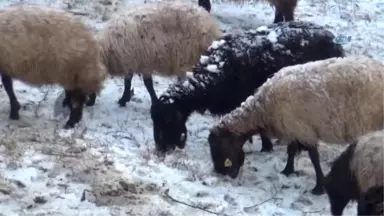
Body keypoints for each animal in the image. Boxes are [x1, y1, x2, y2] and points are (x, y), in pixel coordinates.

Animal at [84, 0, 222, 107]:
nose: (88, 103)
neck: (108, 51)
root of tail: (209, 21)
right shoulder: (133, 62)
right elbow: (130, 82)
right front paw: (125, 99)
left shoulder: (138, 61)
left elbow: (146, 84)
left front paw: (153, 102)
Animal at [208, 55, 384, 196]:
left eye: (219, 147)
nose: (222, 173)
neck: (263, 109)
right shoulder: (293, 129)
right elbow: (291, 150)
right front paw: (287, 171)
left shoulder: (304, 130)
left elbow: (314, 158)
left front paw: (318, 187)